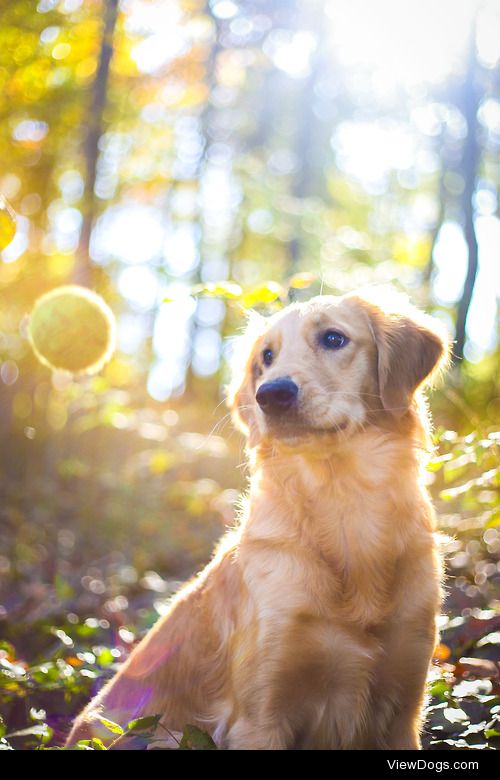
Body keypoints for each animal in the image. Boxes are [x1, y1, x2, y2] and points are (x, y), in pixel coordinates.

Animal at [65, 286, 450, 748]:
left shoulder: (402, 708)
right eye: (266, 356)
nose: (272, 394)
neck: (343, 502)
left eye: (333, 338)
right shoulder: (260, 715)